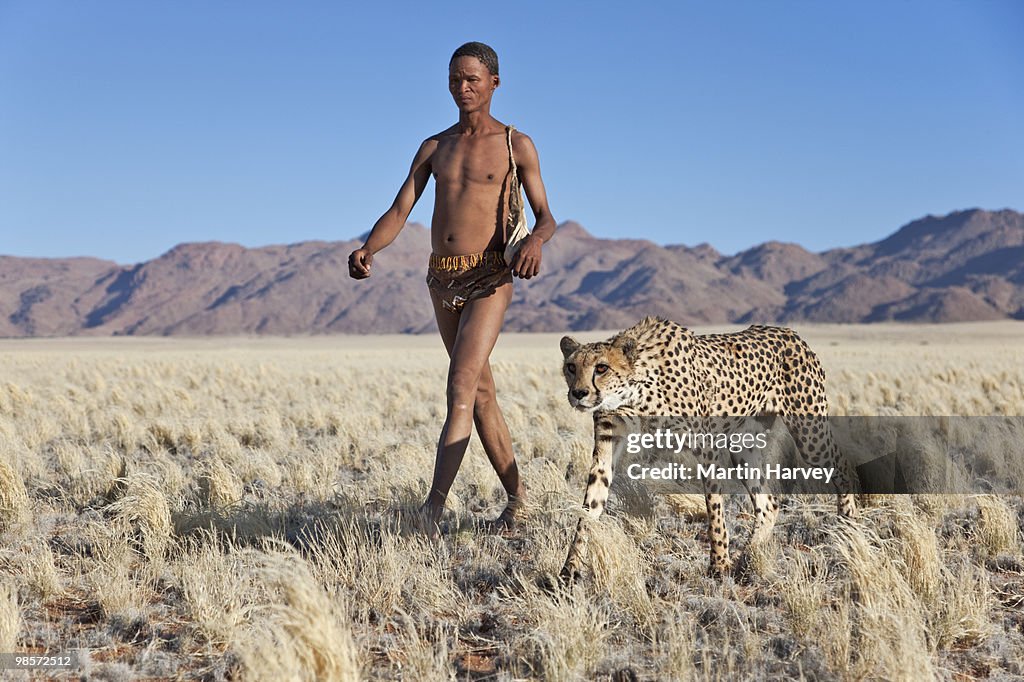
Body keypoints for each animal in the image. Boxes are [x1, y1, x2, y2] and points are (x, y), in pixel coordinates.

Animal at [561, 315, 856, 577]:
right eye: (571, 367)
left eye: (601, 368)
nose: (578, 393)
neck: (633, 393)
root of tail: (790, 332)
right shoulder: (607, 445)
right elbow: (589, 508)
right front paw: (569, 569)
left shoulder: (707, 447)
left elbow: (714, 510)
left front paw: (719, 565)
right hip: (743, 447)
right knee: (768, 503)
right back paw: (748, 557)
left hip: (810, 434)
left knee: (843, 465)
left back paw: (847, 526)